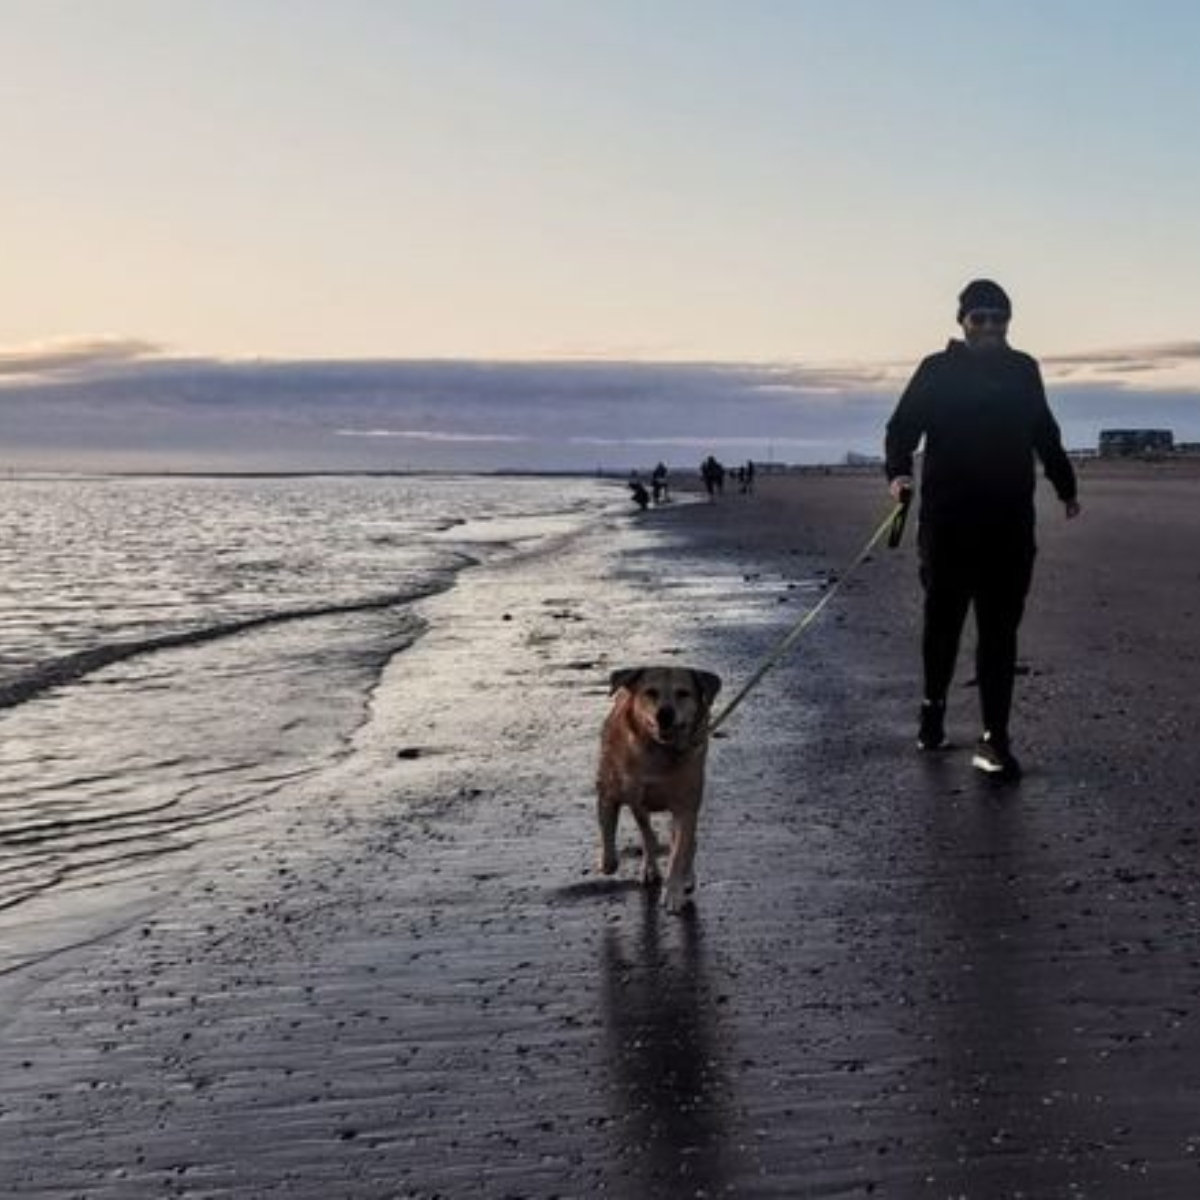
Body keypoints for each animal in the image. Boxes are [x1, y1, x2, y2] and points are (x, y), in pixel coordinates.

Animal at [592, 667, 715, 907]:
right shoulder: (613, 792)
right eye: (651, 692)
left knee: (685, 842)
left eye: (683, 693)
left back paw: (685, 876)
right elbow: (612, 826)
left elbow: (679, 850)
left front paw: (674, 891)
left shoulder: (686, 807)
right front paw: (608, 861)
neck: (655, 751)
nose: (665, 714)